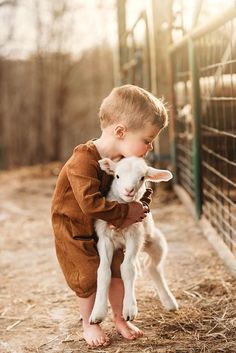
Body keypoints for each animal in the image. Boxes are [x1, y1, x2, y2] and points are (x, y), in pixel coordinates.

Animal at [89, 157, 178, 324]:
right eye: (117, 176)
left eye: (142, 178)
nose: (128, 190)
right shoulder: (104, 237)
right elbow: (103, 271)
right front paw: (98, 312)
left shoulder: (135, 235)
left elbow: (128, 268)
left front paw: (130, 309)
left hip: (156, 242)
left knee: (153, 267)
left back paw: (170, 302)